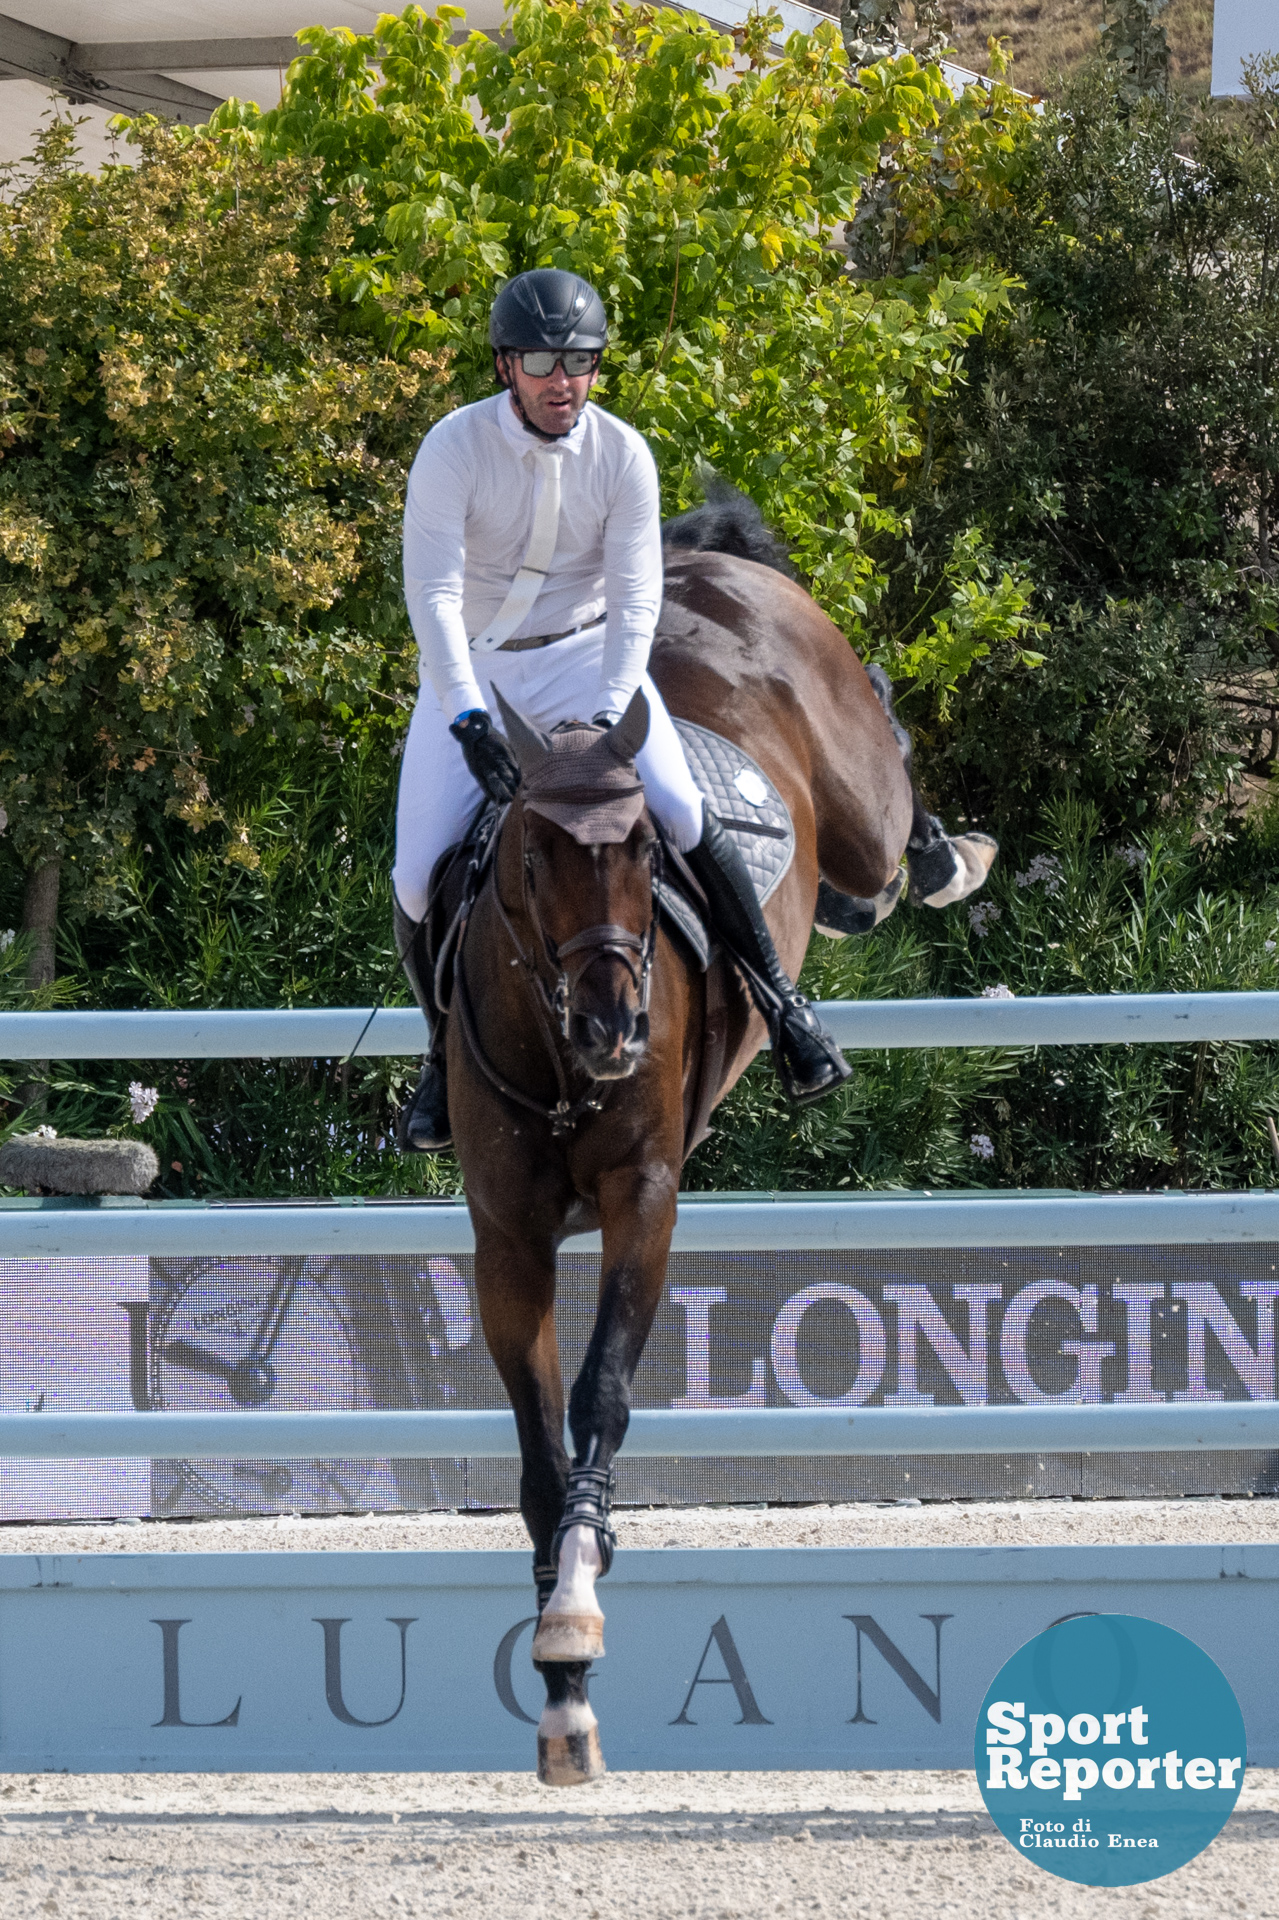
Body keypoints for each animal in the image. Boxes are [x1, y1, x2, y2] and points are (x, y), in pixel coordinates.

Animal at [443, 495, 990, 1781]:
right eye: (528, 857)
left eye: (650, 853)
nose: (614, 1031)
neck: (560, 1064)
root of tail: (703, 563)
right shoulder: (508, 1236)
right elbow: (538, 1451)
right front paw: (564, 1684)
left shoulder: (643, 1198)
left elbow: (598, 1396)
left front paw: (577, 1607)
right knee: (857, 888)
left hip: (855, 796)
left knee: (888, 815)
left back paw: (947, 856)